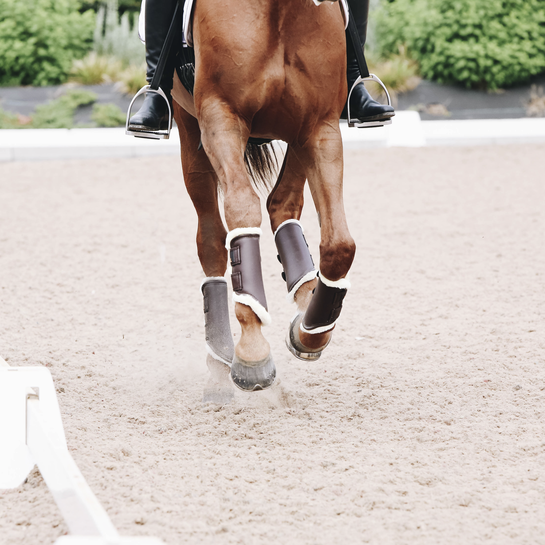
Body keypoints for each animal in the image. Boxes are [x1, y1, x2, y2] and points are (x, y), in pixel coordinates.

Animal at [172, 0, 354, 394]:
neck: (281, 9)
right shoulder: (220, 117)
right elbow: (242, 213)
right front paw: (251, 350)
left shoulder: (320, 126)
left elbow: (340, 245)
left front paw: (311, 330)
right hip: (190, 131)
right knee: (211, 238)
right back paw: (221, 350)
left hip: (299, 133)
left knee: (282, 203)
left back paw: (305, 289)